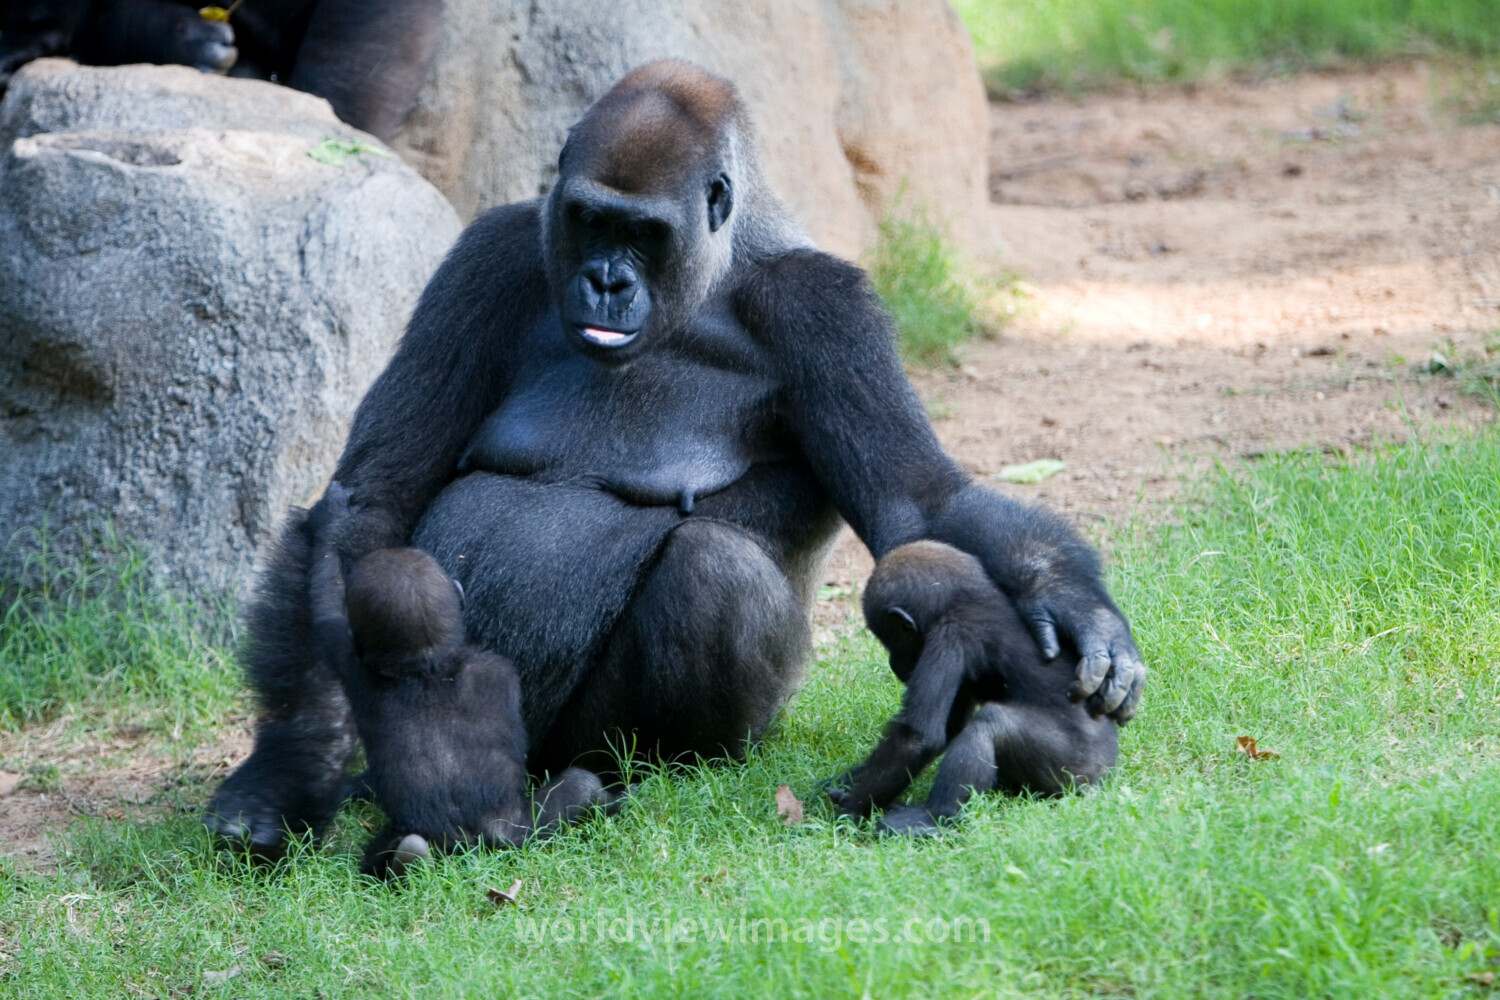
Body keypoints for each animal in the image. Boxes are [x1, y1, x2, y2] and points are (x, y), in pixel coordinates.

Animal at [827, 540, 1120, 836]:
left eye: (891, 640)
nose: (892, 663)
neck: (970, 596)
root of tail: (1104, 774)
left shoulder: (949, 634)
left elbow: (918, 738)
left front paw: (850, 811)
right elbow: (950, 724)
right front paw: (853, 777)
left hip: (1076, 769)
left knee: (991, 723)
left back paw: (934, 816)